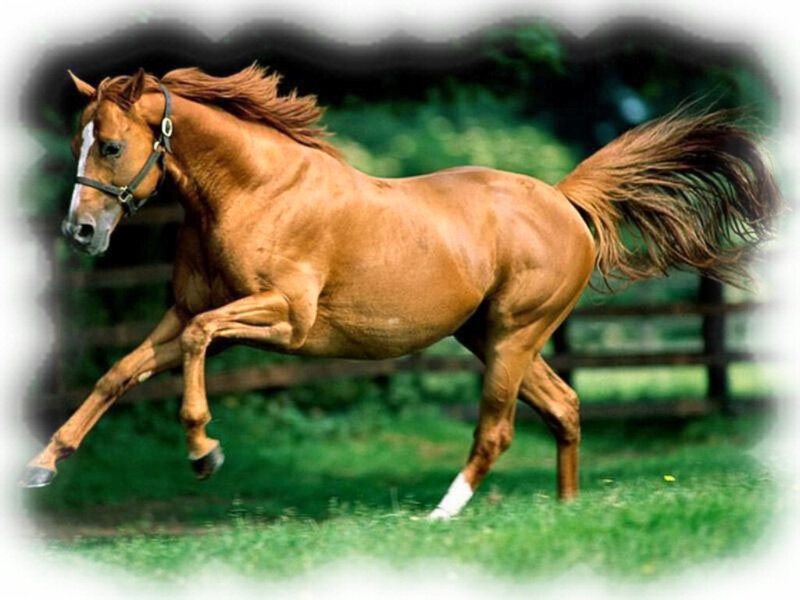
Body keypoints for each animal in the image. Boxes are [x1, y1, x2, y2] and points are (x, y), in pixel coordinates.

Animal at [21, 65, 780, 520]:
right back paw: (566, 511)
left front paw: (204, 452)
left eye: (111, 145)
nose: (80, 231)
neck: (254, 192)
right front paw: (41, 466)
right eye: (77, 142)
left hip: (514, 335)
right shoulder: (181, 312)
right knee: (564, 406)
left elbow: (202, 344)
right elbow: (119, 373)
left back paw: (442, 514)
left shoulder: (285, 321)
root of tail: (564, 200)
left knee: (498, 428)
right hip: (488, 336)